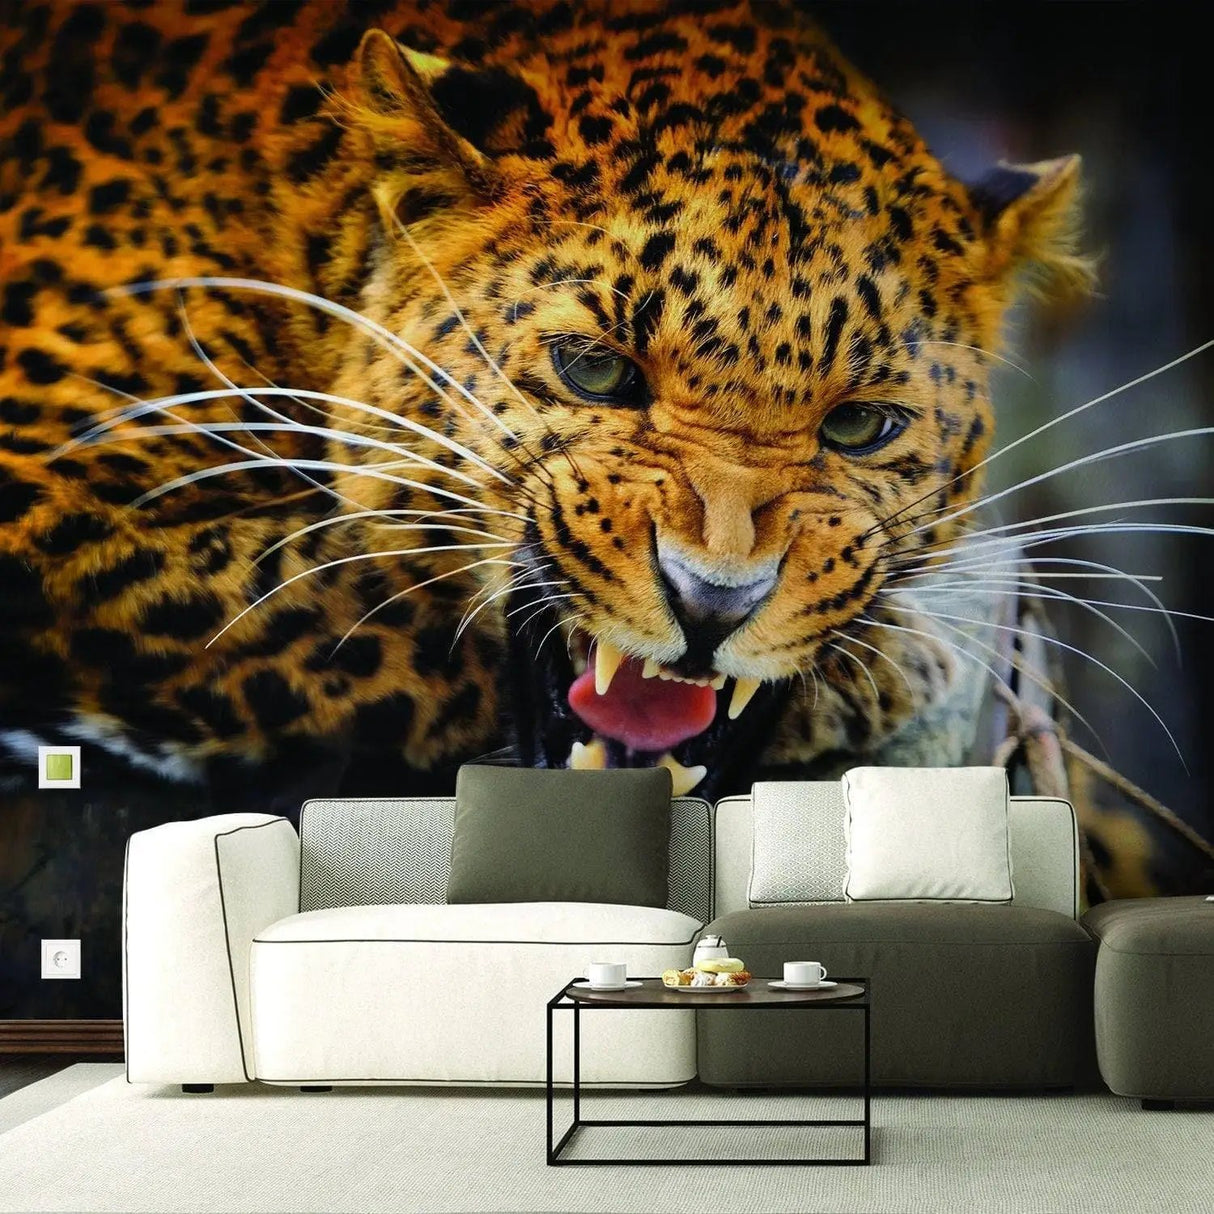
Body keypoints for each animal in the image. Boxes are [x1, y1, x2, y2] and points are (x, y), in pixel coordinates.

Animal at [4, 0, 1141, 892]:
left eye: (860, 424)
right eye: (595, 370)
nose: (712, 603)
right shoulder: (55, 479)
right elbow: (353, 598)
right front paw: (899, 669)